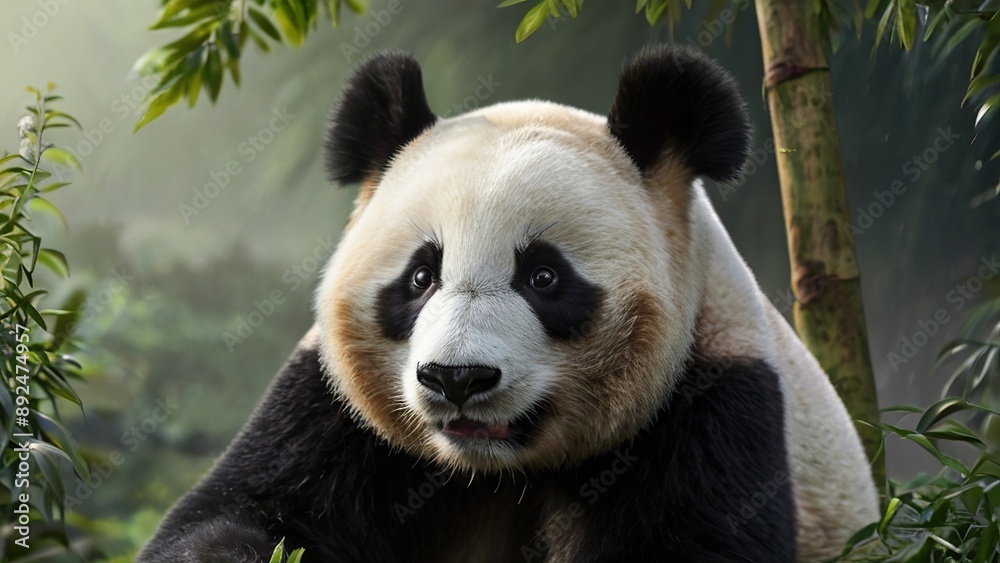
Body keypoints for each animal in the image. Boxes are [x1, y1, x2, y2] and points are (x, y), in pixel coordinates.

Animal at [139, 45, 879, 562]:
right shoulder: (333, 412)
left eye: (544, 277)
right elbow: (248, 509)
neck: (498, 468)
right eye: (420, 276)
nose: (456, 379)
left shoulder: (715, 401)